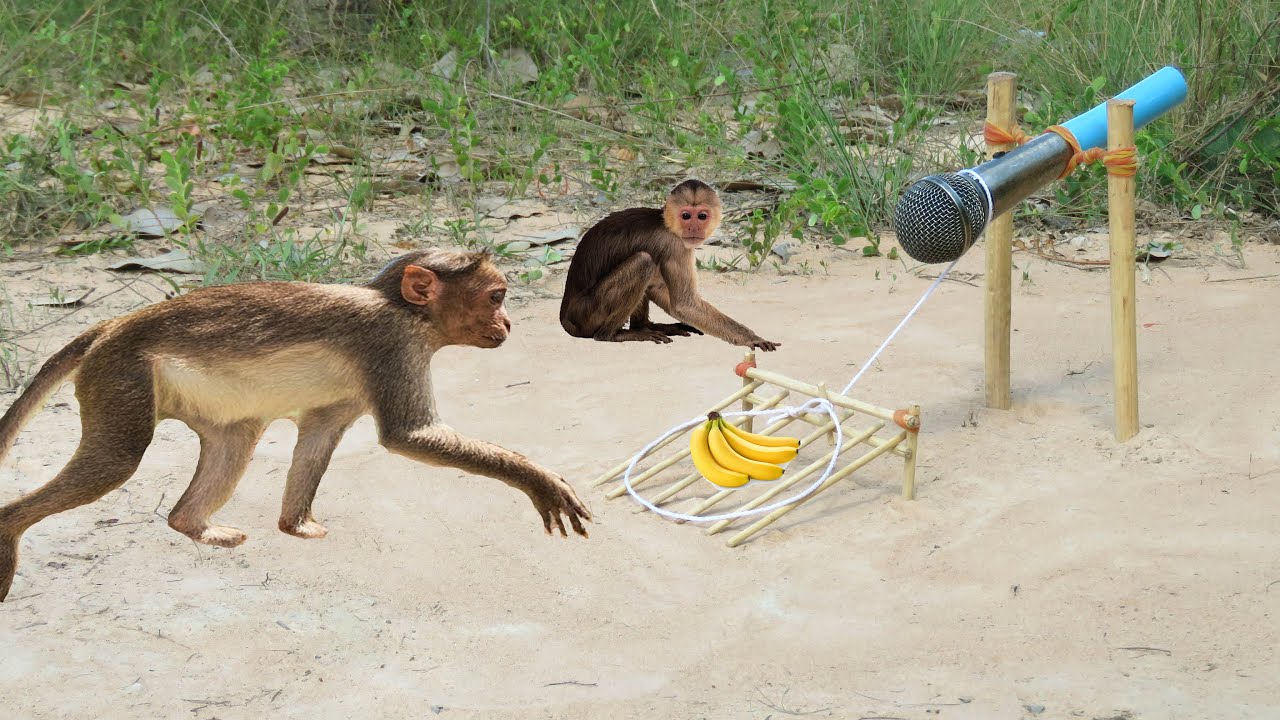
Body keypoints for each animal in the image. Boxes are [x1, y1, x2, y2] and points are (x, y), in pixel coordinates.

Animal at [0, 249, 591, 601]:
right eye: (497, 297)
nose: (508, 322)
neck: (403, 308)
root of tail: (112, 326)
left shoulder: (354, 390)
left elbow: (319, 437)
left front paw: (295, 524)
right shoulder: (392, 345)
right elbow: (408, 437)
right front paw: (538, 479)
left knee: (235, 439)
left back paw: (194, 524)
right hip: (122, 374)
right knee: (115, 461)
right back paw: (10, 529)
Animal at [559, 179, 781, 350]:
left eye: (702, 216)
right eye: (686, 216)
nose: (693, 228)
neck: (666, 225)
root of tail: (565, 319)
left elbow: (660, 289)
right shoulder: (675, 245)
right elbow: (684, 304)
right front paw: (750, 337)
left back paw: (643, 327)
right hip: (588, 314)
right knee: (644, 261)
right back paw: (612, 335)